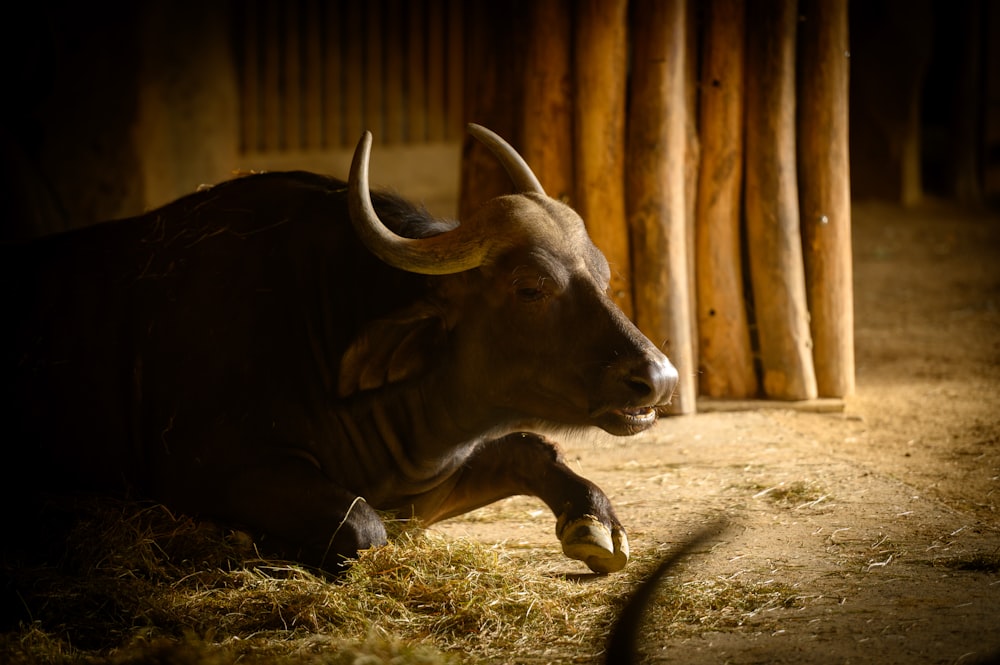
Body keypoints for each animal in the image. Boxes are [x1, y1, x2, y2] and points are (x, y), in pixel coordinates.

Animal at [1, 127, 680, 572]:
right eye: (530, 286)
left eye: (602, 275)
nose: (660, 378)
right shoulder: (215, 469)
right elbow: (361, 526)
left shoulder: (426, 487)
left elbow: (532, 449)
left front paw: (596, 521)